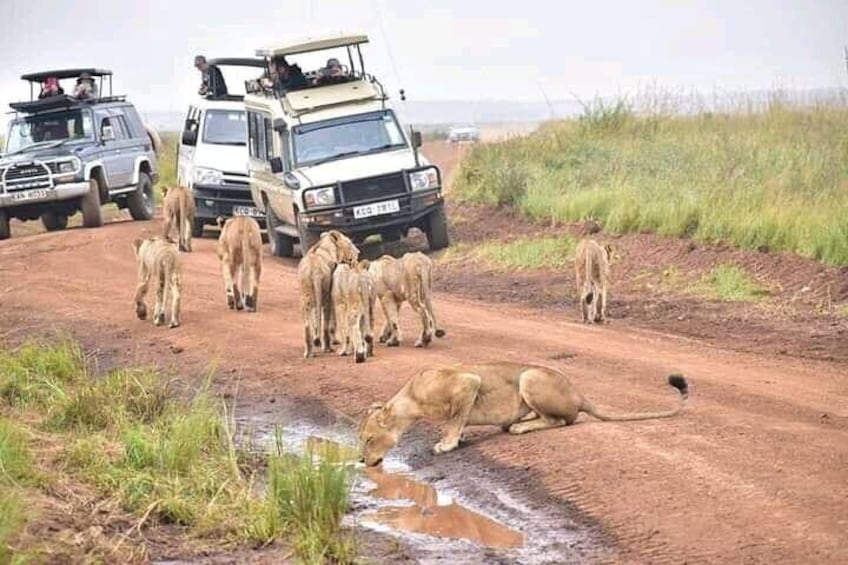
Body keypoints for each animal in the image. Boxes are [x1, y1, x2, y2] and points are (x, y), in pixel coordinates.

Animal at [358, 364, 688, 464]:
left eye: (368, 439)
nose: (361, 461)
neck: (410, 398)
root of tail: (578, 392)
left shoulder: (468, 382)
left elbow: (455, 421)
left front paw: (447, 444)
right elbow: (457, 422)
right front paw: (457, 438)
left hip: (528, 376)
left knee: (560, 421)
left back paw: (519, 427)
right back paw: (520, 421)